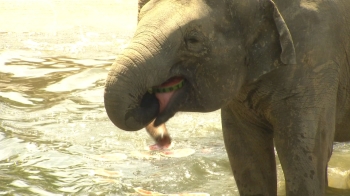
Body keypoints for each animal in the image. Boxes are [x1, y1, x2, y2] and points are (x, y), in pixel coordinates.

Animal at [104, 0, 350, 195]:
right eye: (138, 18)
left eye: (193, 40)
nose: (164, 137)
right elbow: (245, 154)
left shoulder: (316, 59)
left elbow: (304, 153)